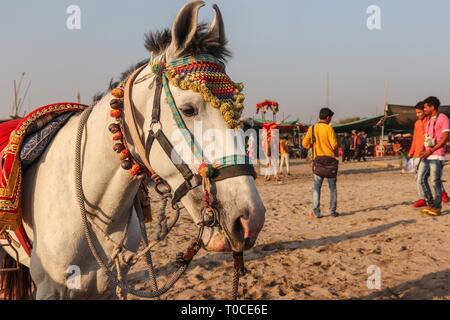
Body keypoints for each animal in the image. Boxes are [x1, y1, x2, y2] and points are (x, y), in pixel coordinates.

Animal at [0, 1, 266, 298]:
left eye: (238, 111)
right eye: (188, 109)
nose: (250, 220)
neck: (92, 209)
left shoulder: (111, 283)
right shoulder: (51, 288)